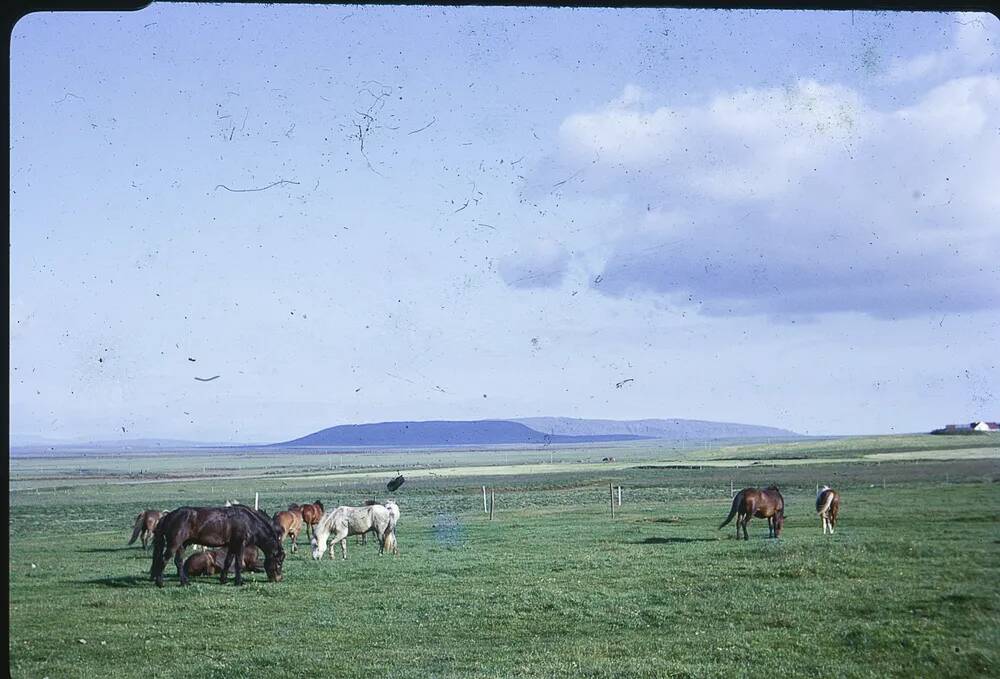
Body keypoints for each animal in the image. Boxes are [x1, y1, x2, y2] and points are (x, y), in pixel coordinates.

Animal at [152, 504, 286, 588]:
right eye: (279, 562)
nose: (279, 579)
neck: (248, 522)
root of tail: (167, 516)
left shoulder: (232, 545)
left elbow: (228, 562)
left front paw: (224, 580)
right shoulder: (240, 545)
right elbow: (238, 563)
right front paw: (239, 582)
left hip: (182, 545)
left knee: (178, 562)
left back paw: (185, 582)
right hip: (174, 544)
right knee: (164, 559)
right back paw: (160, 583)